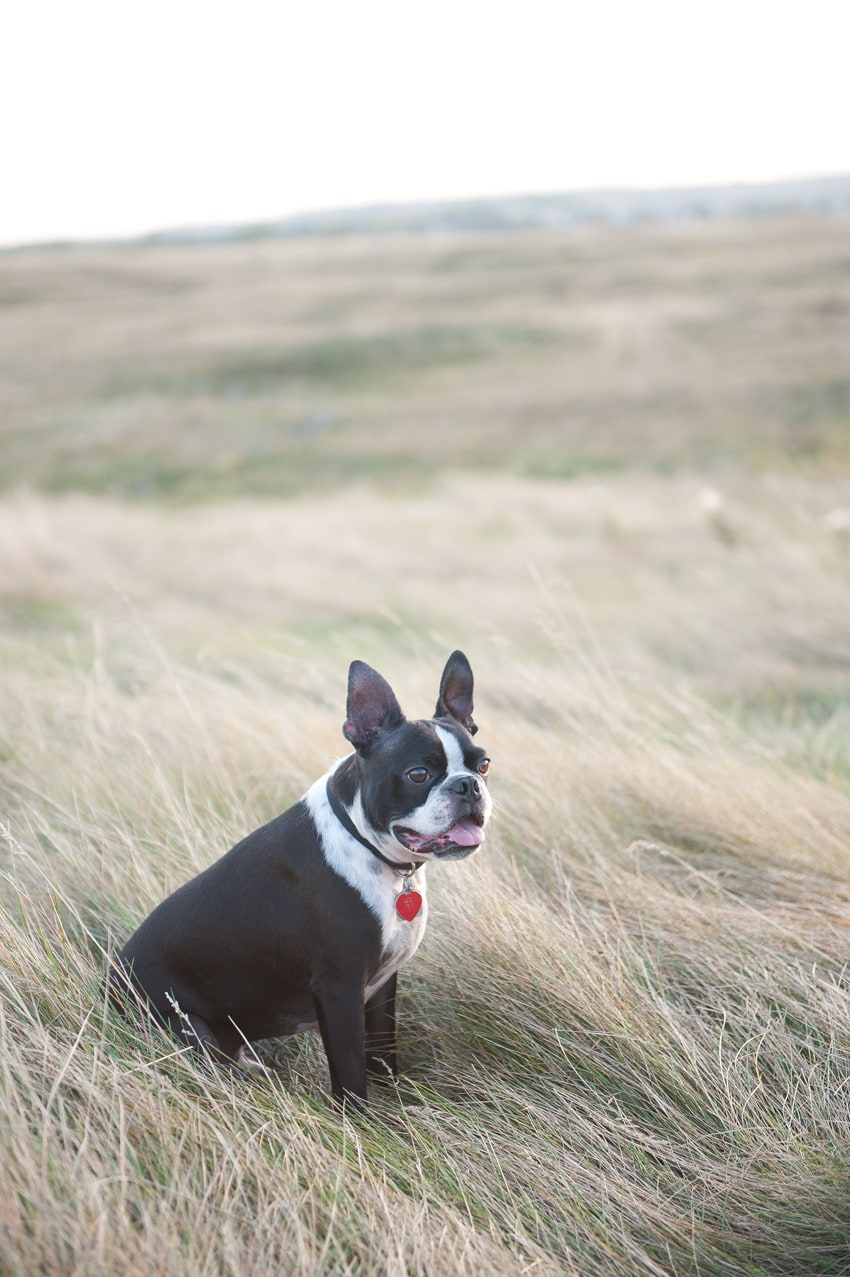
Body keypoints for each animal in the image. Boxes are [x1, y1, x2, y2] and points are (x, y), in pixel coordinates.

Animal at [111, 648, 490, 1108]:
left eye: (483, 764)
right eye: (418, 774)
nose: (468, 786)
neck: (369, 846)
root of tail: (105, 988)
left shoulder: (382, 983)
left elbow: (383, 1051)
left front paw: (395, 1104)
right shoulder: (339, 987)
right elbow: (351, 1073)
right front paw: (361, 1120)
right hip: (187, 1026)